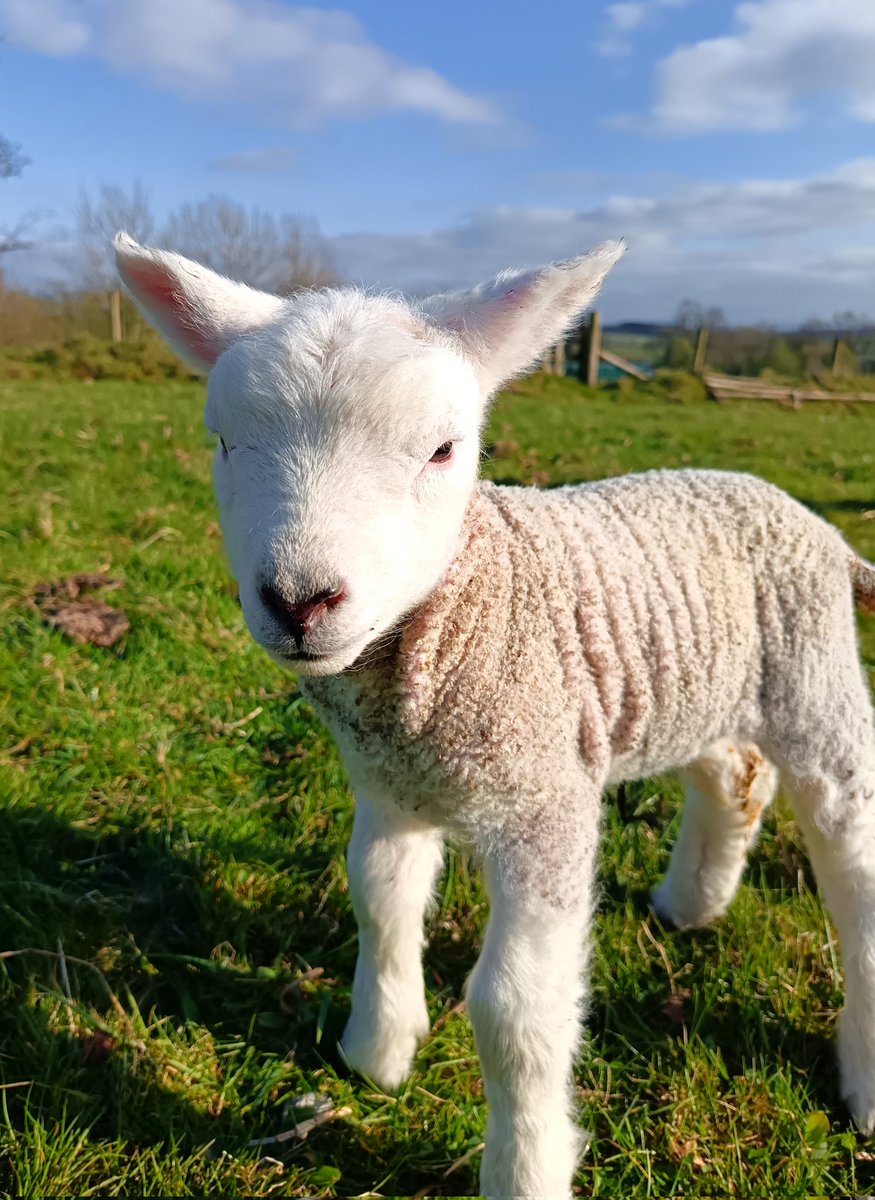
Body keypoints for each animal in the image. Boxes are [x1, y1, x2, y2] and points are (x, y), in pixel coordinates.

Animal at [115, 231, 875, 1200]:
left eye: (442, 450)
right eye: (222, 440)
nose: (299, 602)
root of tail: (805, 520)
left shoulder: (542, 802)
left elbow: (514, 1009)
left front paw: (523, 1166)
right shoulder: (388, 783)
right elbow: (379, 898)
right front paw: (376, 1052)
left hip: (816, 684)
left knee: (853, 861)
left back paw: (861, 1070)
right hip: (699, 684)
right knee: (732, 774)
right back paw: (689, 904)